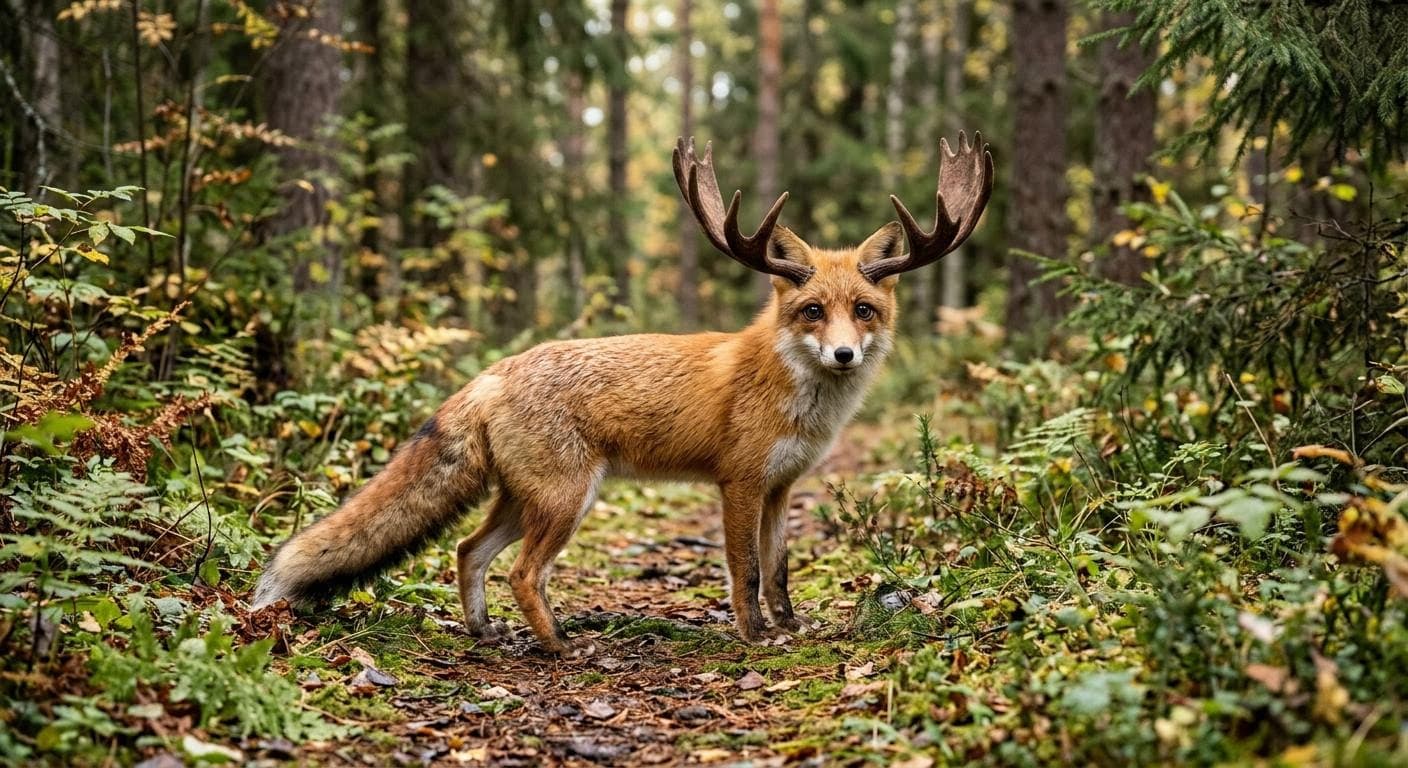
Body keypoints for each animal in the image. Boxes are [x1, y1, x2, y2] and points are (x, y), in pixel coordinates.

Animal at [252, 133, 993, 656]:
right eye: (813, 311)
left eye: (863, 311)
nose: (844, 354)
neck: (793, 391)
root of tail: (495, 370)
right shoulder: (739, 484)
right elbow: (745, 571)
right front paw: (753, 635)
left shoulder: (782, 488)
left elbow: (780, 568)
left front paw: (789, 627)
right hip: (566, 501)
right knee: (523, 574)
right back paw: (558, 645)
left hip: (524, 501)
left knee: (467, 552)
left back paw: (484, 634)